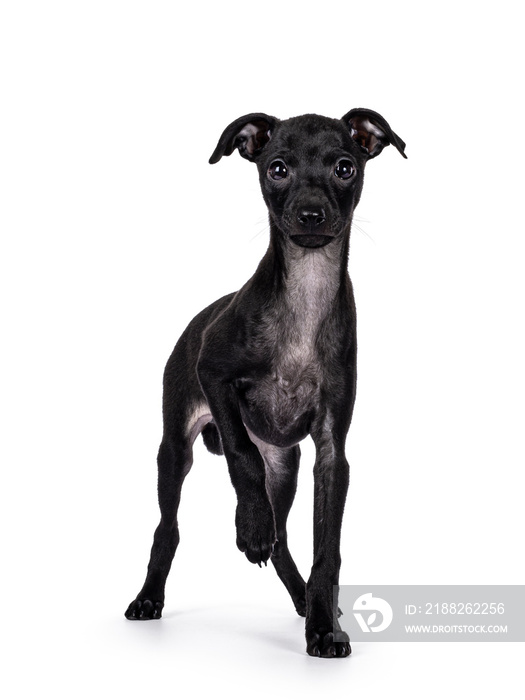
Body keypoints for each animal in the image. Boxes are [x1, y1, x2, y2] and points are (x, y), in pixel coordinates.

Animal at [126, 109, 406, 656]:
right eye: (278, 168)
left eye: (345, 167)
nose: (311, 215)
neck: (304, 296)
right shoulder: (213, 372)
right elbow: (241, 454)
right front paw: (250, 524)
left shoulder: (330, 453)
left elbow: (327, 551)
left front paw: (323, 626)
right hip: (175, 448)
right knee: (169, 527)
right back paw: (151, 595)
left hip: (287, 464)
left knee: (283, 543)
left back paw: (301, 599)